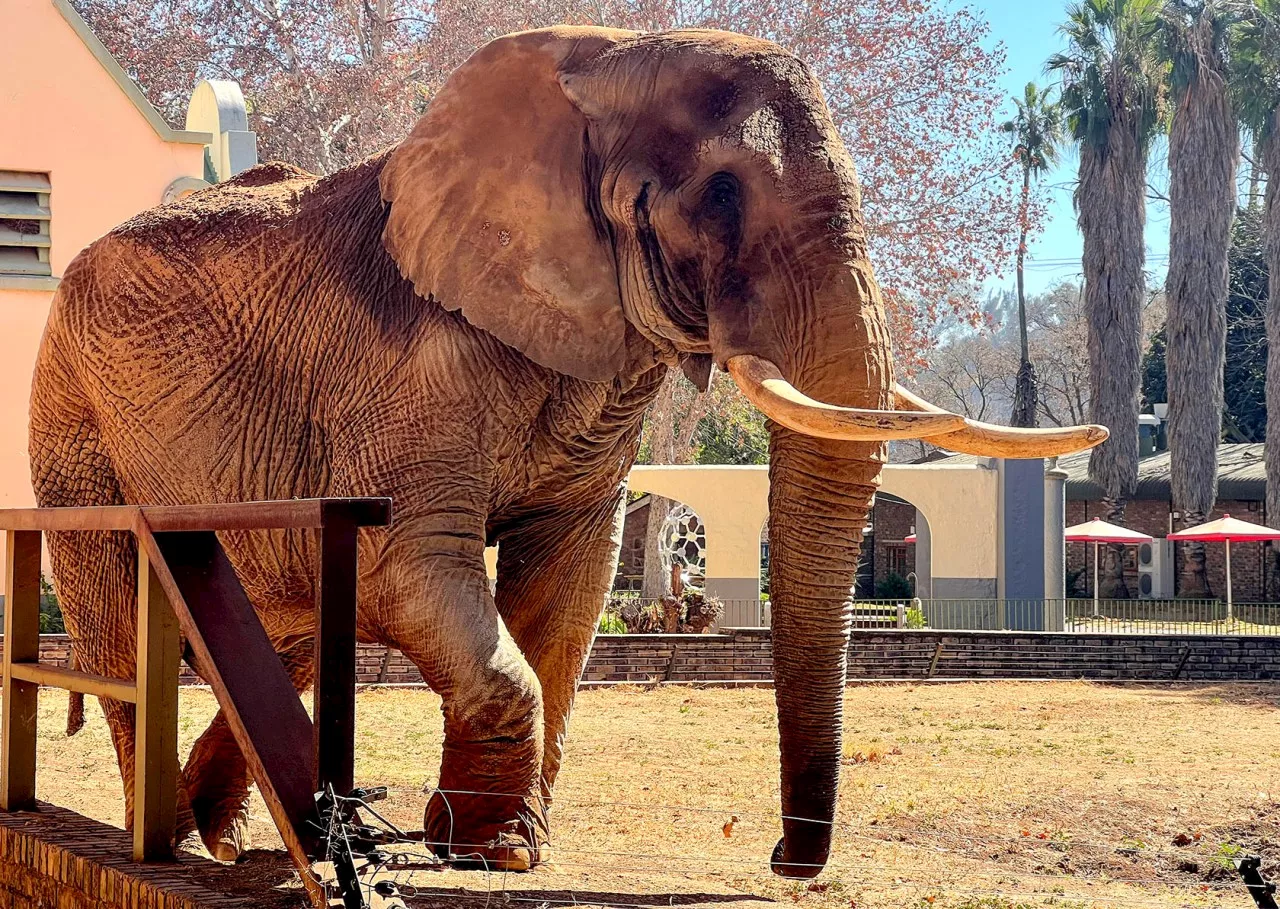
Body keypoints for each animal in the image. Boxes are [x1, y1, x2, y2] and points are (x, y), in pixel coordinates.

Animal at [32, 26, 1111, 880]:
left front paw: (493, 848)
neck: (601, 61)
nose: (779, 856)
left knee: (277, 625)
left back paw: (222, 840)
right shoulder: (404, 369)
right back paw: (159, 843)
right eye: (721, 195)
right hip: (71, 416)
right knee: (125, 623)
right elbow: (405, 564)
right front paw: (496, 851)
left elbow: (567, 579)